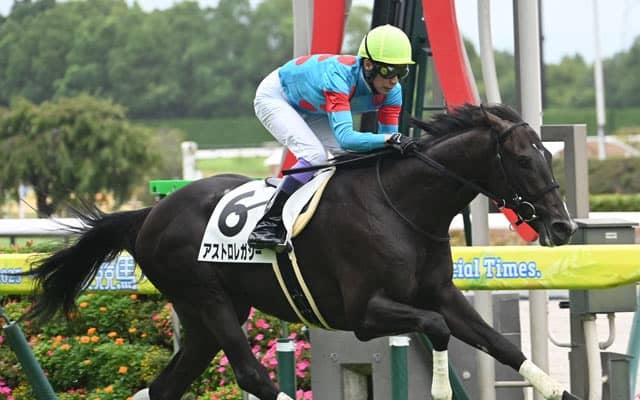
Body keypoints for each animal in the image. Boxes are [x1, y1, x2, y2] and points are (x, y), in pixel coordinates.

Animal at [19, 103, 579, 400]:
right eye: (524, 161)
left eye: (550, 155)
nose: (563, 225)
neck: (403, 206)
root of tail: (147, 216)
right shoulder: (364, 313)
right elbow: (438, 331)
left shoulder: (440, 293)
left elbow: (499, 344)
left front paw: (558, 390)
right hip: (206, 298)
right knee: (250, 372)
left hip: (207, 315)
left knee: (167, 386)